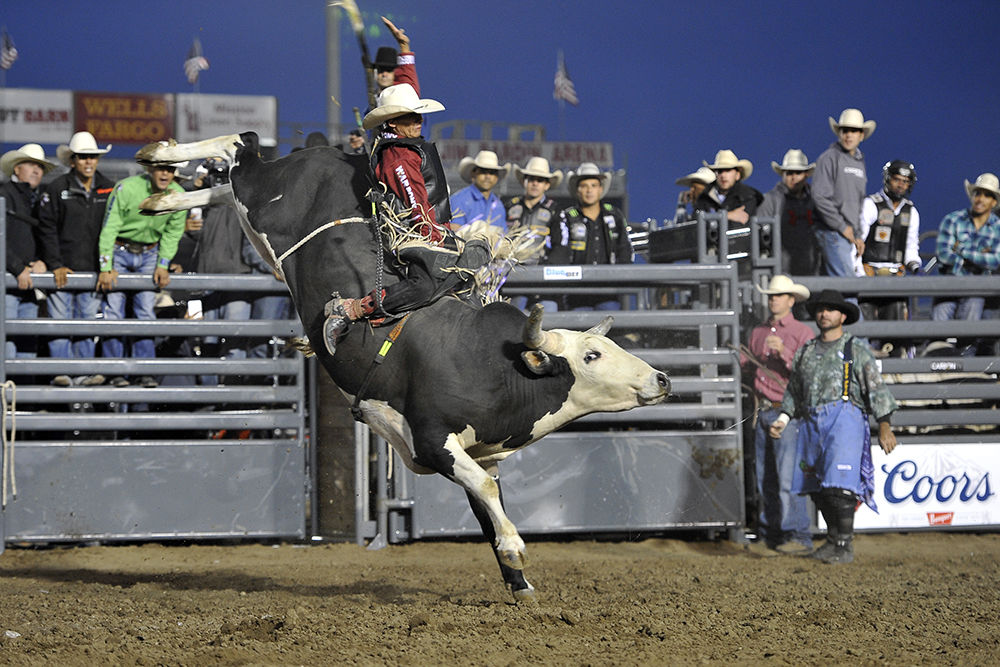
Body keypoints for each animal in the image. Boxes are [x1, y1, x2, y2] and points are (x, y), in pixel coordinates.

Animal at [137, 133, 672, 604]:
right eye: (591, 356)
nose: (661, 379)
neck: (496, 363)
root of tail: (331, 152)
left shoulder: (479, 450)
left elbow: (487, 503)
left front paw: (518, 581)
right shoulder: (433, 441)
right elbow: (487, 489)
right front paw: (518, 549)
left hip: (255, 219)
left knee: (227, 178)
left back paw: (163, 199)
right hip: (262, 200)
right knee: (239, 148)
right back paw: (159, 155)